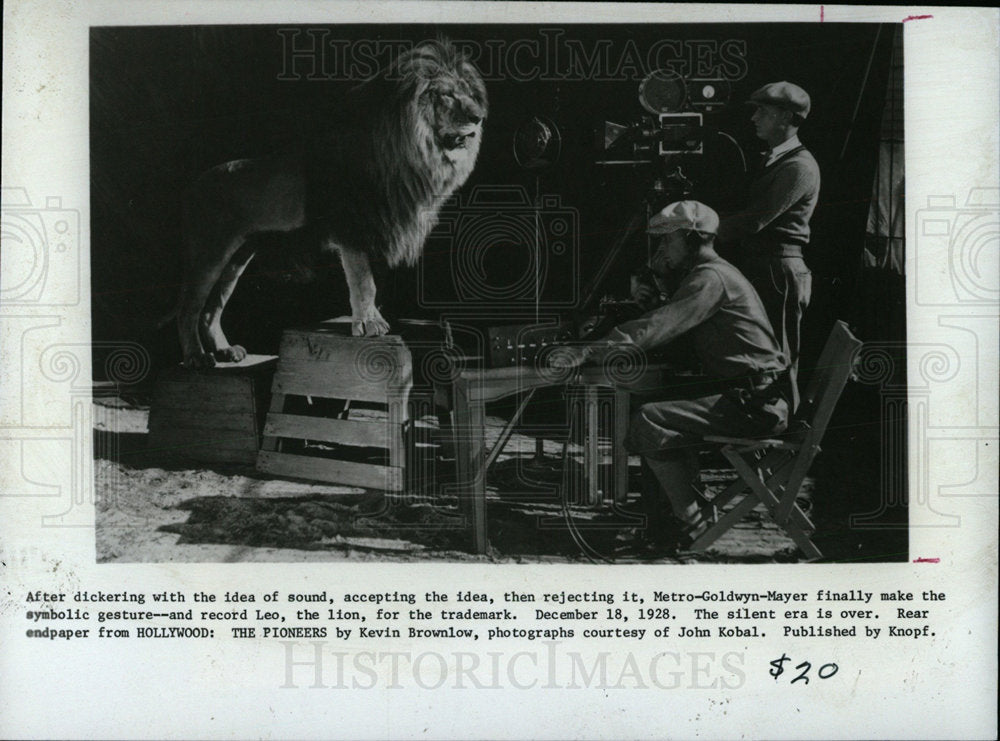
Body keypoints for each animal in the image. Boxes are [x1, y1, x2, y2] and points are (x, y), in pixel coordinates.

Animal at [176, 40, 488, 368]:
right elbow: (363, 280)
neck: (407, 151)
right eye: (446, 94)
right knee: (188, 308)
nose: (479, 116)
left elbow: (373, 282)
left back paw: (225, 351)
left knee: (211, 310)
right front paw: (369, 324)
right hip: (208, 252)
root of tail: (190, 188)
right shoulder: (351, 226)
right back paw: (196, 357)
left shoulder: (379, 227)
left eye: (469, 93)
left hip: (238, 257)